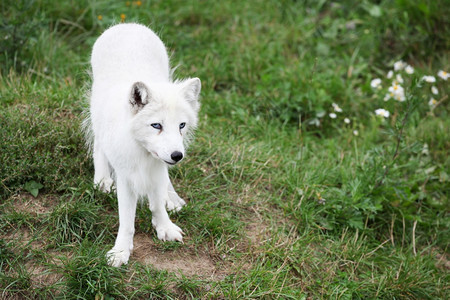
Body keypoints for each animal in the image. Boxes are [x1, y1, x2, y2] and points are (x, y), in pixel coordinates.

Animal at [85, 24, 200, 268]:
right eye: (156, 125)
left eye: (181, 125)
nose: (177, 155)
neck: (143, 154)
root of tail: (128, 25)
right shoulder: (126, 178)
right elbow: (126, 220)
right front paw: (120, 251)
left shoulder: (157, 170)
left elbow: (156, 204)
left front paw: (165, 227)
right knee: (98, 144)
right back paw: (102, 180)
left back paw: (172, 198)